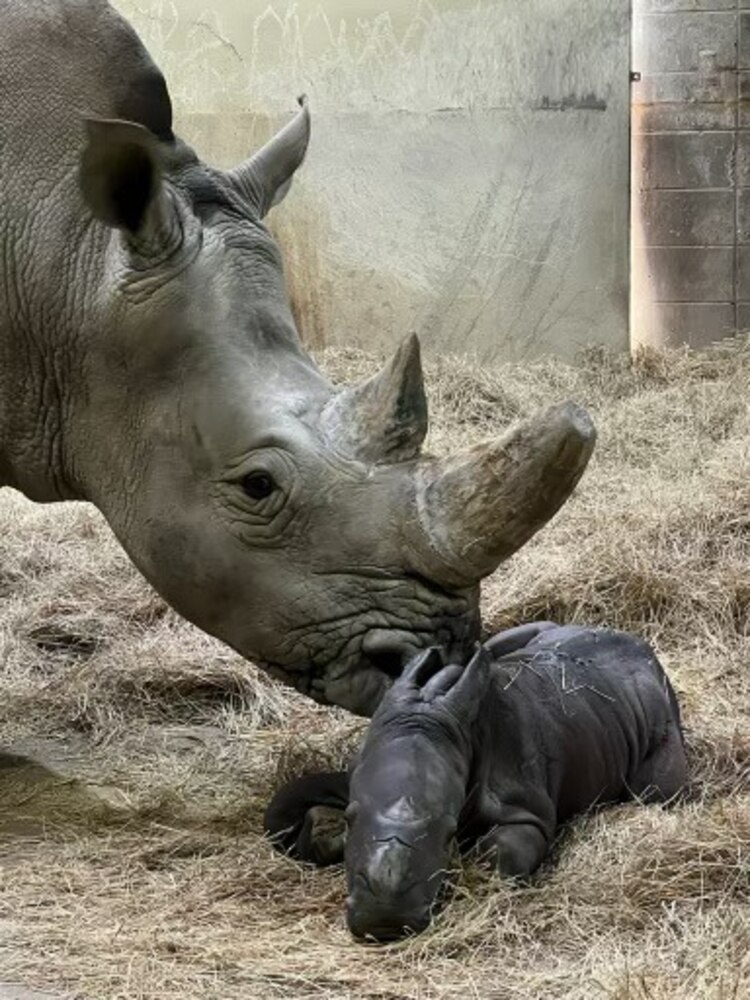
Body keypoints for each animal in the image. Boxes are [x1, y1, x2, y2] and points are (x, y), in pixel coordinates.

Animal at [264, 623, 688, 939]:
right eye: (351, 818)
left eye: (449, 832)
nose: (384, 922)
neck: (431, 718)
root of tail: (643, 651)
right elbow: (281, 807)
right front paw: (325, 834)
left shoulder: (525, 809)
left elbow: (500, 853)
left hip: (659, 722)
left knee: (660, 790)